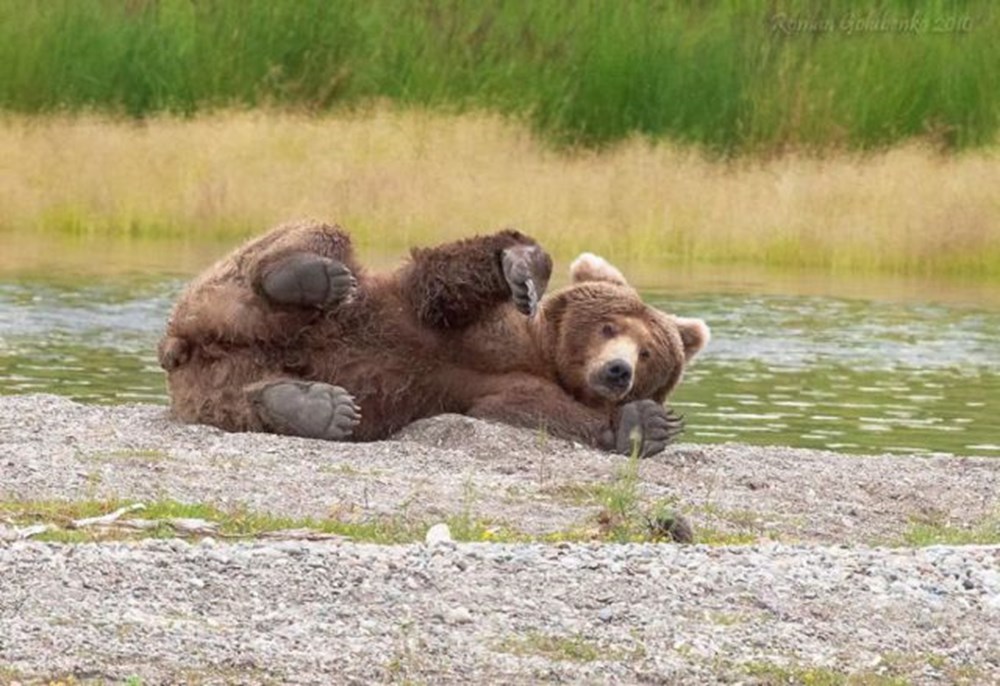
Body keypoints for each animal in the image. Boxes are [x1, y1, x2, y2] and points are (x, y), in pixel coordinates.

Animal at [158, 223, 712, 460]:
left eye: (648, 354)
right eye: (610, 326)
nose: (618, 371)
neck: (544, 354)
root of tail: (184, 342)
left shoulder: (504, 386)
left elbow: (531, 411)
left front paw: (643, 424)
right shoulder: (457, 323)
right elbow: (443, 284)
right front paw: (523, 265)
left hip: (211, 381)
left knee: (237, 399)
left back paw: (313, 408)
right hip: (226, 289)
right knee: (311, 238)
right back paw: (307, 277)